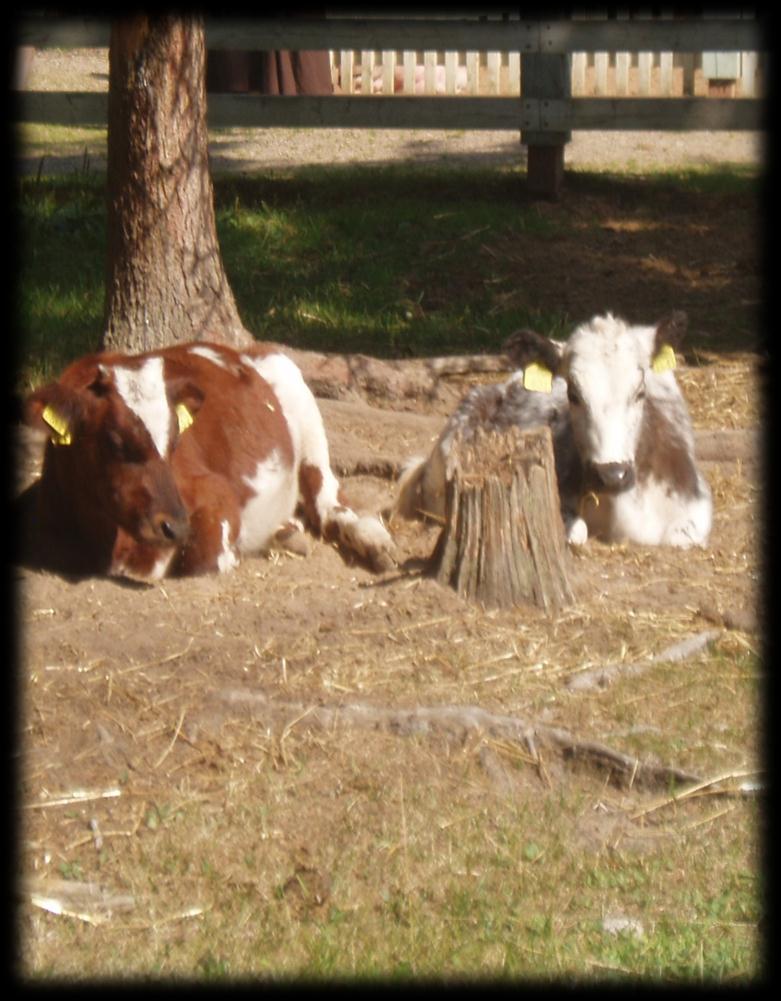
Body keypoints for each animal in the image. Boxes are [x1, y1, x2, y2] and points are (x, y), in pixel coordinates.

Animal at [24, 342, 396, 580]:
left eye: (175, 441)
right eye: (114, 441)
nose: (175, 526)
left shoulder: (215, 494)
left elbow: (202, 560)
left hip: (300, 401)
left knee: (330, 502)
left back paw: (374, 542)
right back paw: (285, 531)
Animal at [396, 310, 712, 548]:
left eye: (640, 392)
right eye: (573, 393)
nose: (612, 474)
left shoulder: (697, 505)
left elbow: (679, 537)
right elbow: (575, 533)